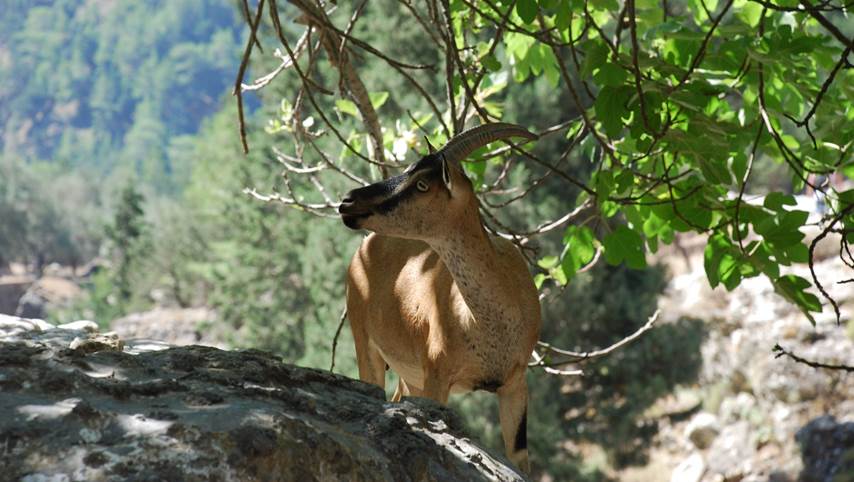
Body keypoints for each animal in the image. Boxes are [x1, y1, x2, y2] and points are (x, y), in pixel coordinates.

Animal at [340, 123, 540, 470]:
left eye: (421, 184)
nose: (348, 201)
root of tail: (364, 250)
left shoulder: (515, 383)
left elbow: (519, 458)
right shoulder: (436, 375)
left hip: (409, 374)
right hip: (364, 340)